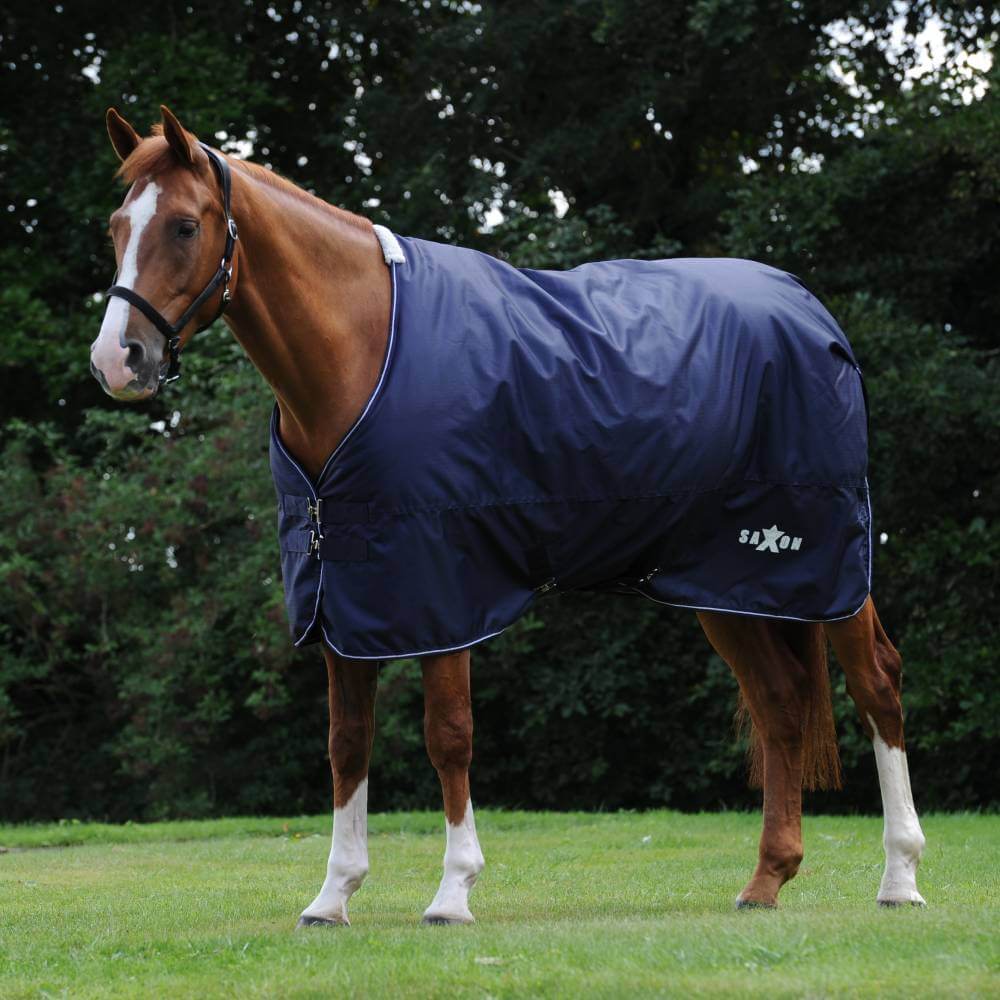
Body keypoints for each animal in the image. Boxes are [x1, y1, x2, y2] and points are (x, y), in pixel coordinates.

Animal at [90, 105, 926, 926]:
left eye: (185, 227)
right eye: (117, 226)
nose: (116, 360)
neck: (363, 351)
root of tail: (805, 306)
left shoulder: (443, 588)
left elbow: (449, 735)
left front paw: (453, 891)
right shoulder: (344, 595)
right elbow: (347, 742)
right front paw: (333, 895)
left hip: (823, 559)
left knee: (875, 683)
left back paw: (899, 878)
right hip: (726, 583)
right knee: (779, 704)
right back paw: (766, 880)